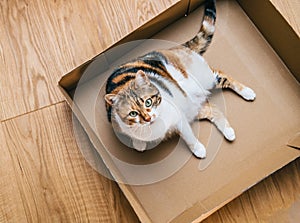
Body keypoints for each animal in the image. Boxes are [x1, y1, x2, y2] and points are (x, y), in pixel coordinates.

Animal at [103, 0, 255, 159]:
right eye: (133, 113)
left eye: (148, 102)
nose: (148, 118)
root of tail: (175, 48)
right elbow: (135, 136)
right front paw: (139, 143)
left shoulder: (178, 116)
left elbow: (188, 135)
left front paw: (198, 149)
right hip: (194, 106)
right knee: (213, 110)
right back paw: (229, 132)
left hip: (202, 79)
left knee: (220, 74)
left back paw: (247, 92)